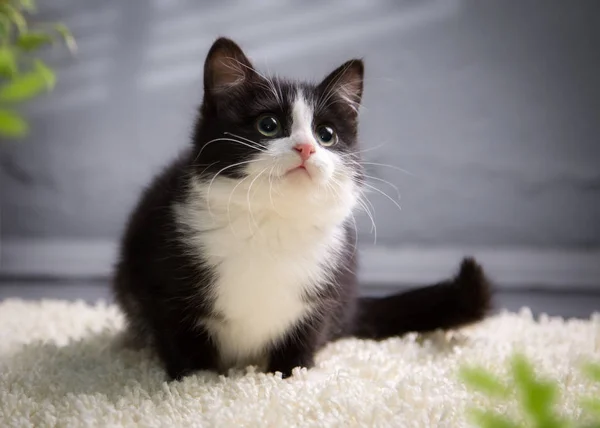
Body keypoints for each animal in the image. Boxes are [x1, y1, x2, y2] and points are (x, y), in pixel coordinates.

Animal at [113, 37, 492, 382]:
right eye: (268, 125)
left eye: (326, 135)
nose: (306, 148)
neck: (272, 221)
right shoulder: (162, 271)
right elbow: (178, 334)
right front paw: (192, 379)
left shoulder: (326, 287)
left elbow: (303, 335)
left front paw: (290, 374)